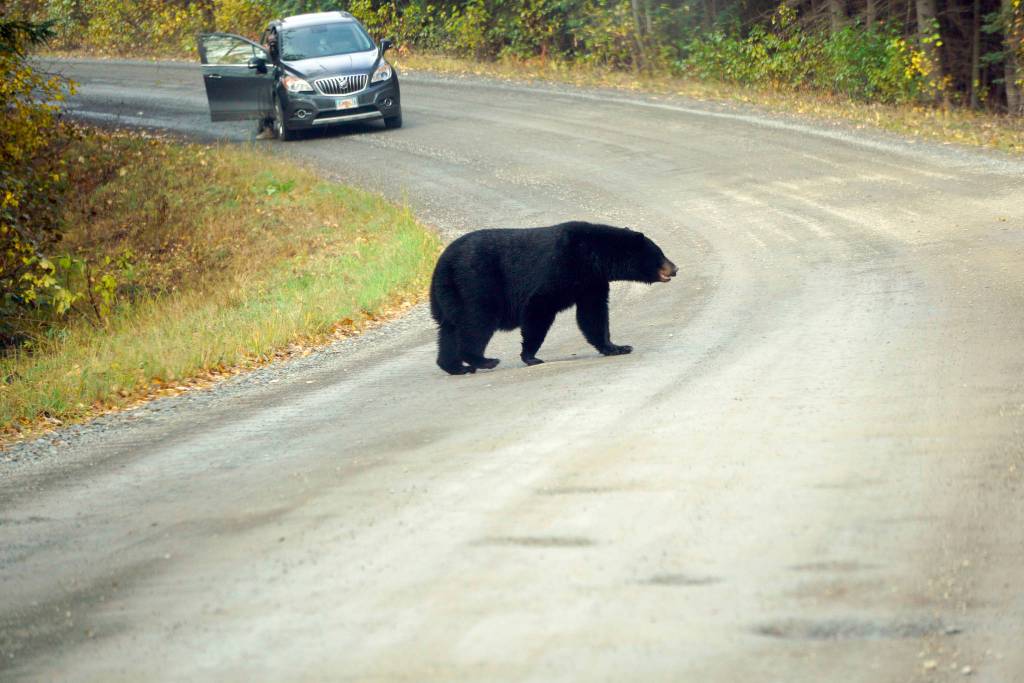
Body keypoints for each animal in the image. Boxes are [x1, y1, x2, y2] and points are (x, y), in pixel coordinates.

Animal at [429, 221, 677, 375]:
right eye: (660, 253)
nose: (675, 268)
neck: (593, 255)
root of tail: (442, 264)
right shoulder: (561, 269)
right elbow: (539, 308)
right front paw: (530, 356)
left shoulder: (591, 282)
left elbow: (593, 314)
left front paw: (617, 346)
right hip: (476, 283)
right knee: (477, 323)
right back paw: (484, 360)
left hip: (450, 294)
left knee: (449, 330)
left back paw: (454, 366)